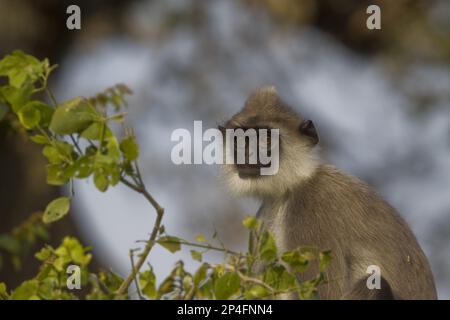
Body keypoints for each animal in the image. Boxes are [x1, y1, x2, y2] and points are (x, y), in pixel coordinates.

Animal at [220, 85, 438, 300]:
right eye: (241, 140)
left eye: (265, 139)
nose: (248, 153)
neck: (293, 186)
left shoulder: (311, 205)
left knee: (375, 286)